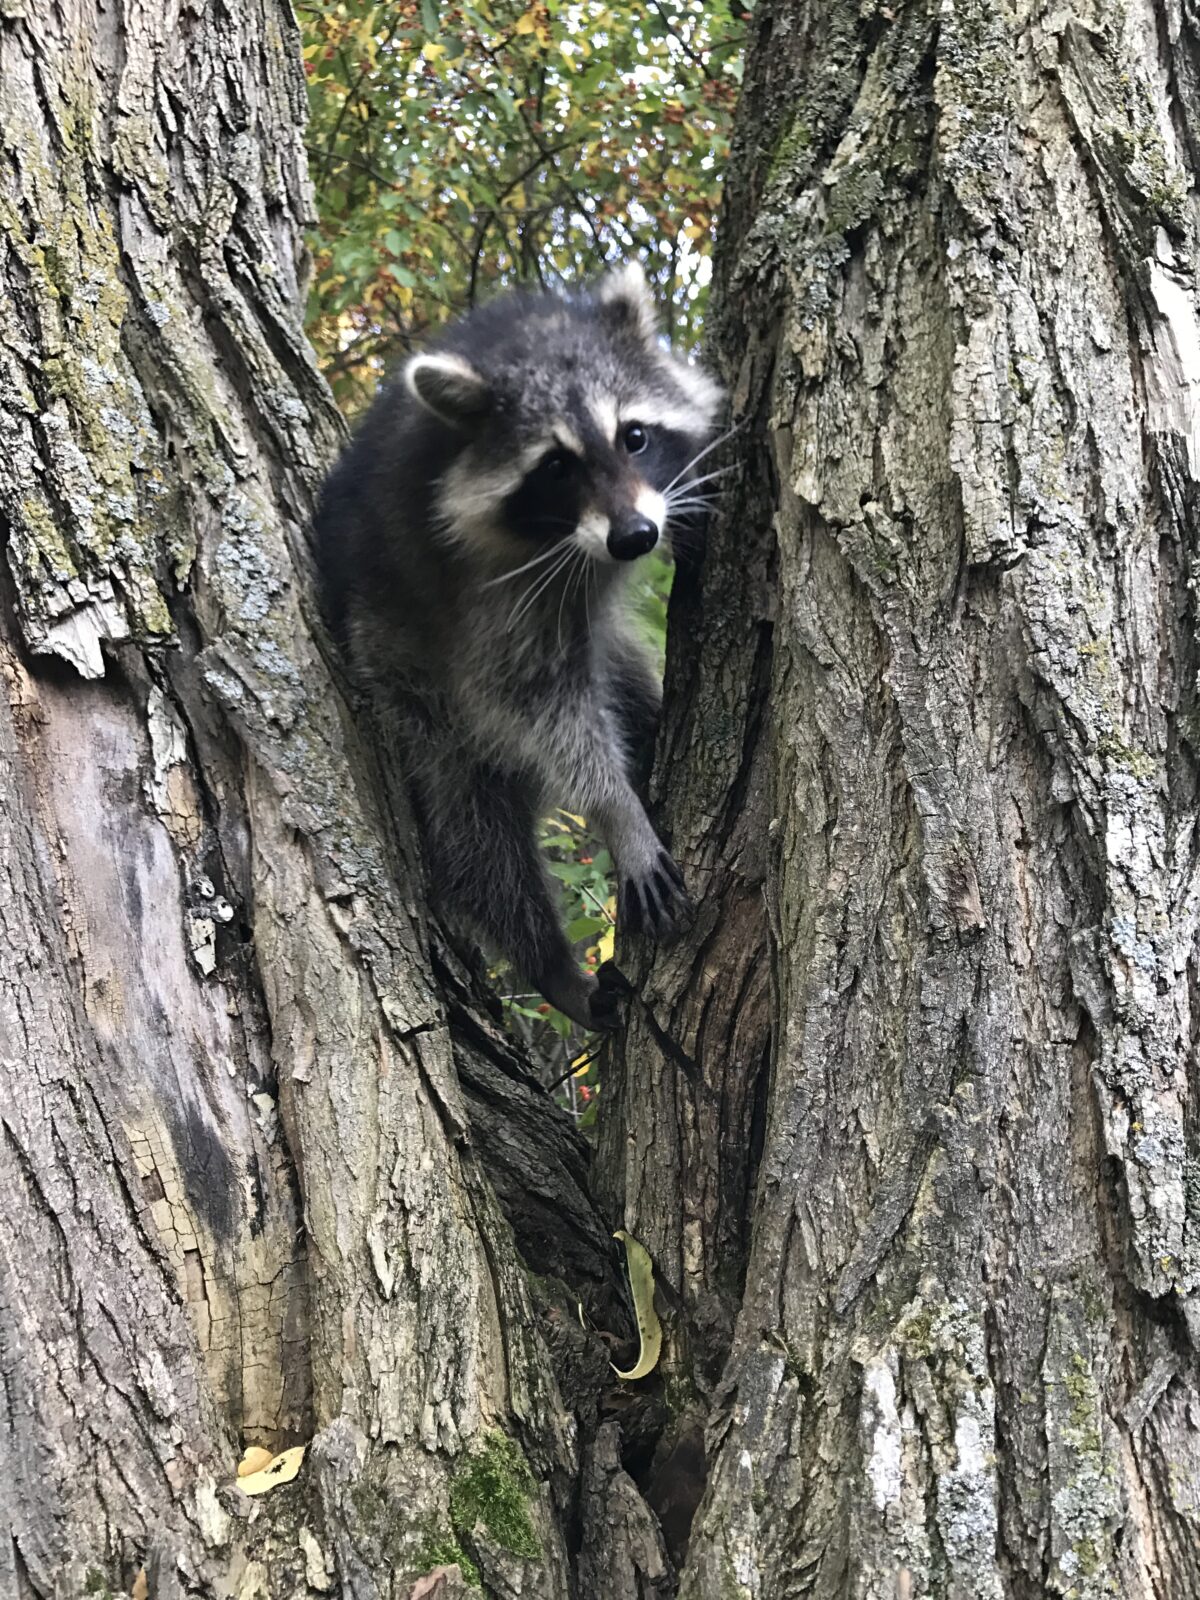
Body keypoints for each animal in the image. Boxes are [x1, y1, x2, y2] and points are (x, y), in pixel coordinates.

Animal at [315, 263, 722, 1030]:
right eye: (556, 467)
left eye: (634, 436)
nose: (635, 538)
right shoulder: (482, 597)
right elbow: (534, 702)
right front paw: (617, 810)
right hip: (408, 686)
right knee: (477, 834)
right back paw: (549, 962)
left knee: (622, 680)